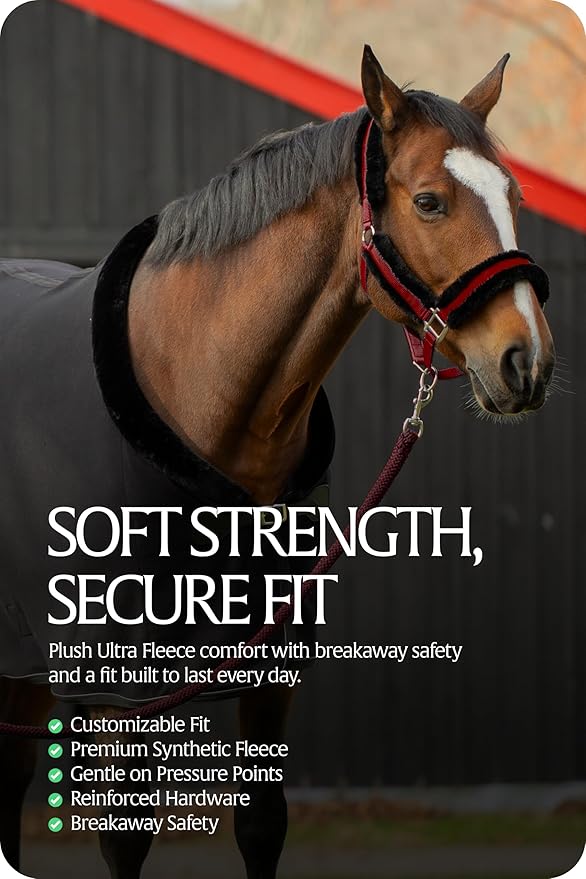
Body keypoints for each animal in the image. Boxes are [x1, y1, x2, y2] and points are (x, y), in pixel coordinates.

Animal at [0, 46, 555, 879]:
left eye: (514, 195)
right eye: (429, 202)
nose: (528, 363)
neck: (197, 390)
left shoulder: (270, 677)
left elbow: (262, 824)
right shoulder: (120, 692)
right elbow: (126, 838)